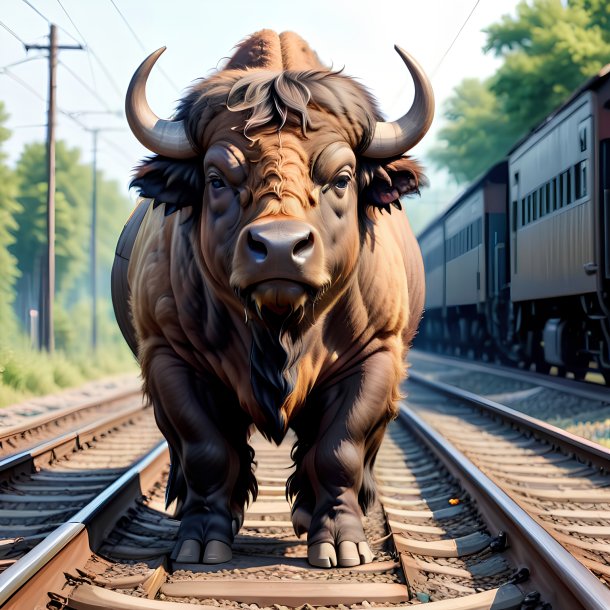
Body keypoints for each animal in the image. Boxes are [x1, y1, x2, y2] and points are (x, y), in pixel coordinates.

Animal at [113, 30, 432, 568]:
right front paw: (202, 540)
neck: (278, 332)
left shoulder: (376, 356)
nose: (280, 248)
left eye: (342, 178)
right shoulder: (169, 357)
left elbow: (339, 450)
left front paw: (341, 543)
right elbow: (206, 449)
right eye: (217, 179)